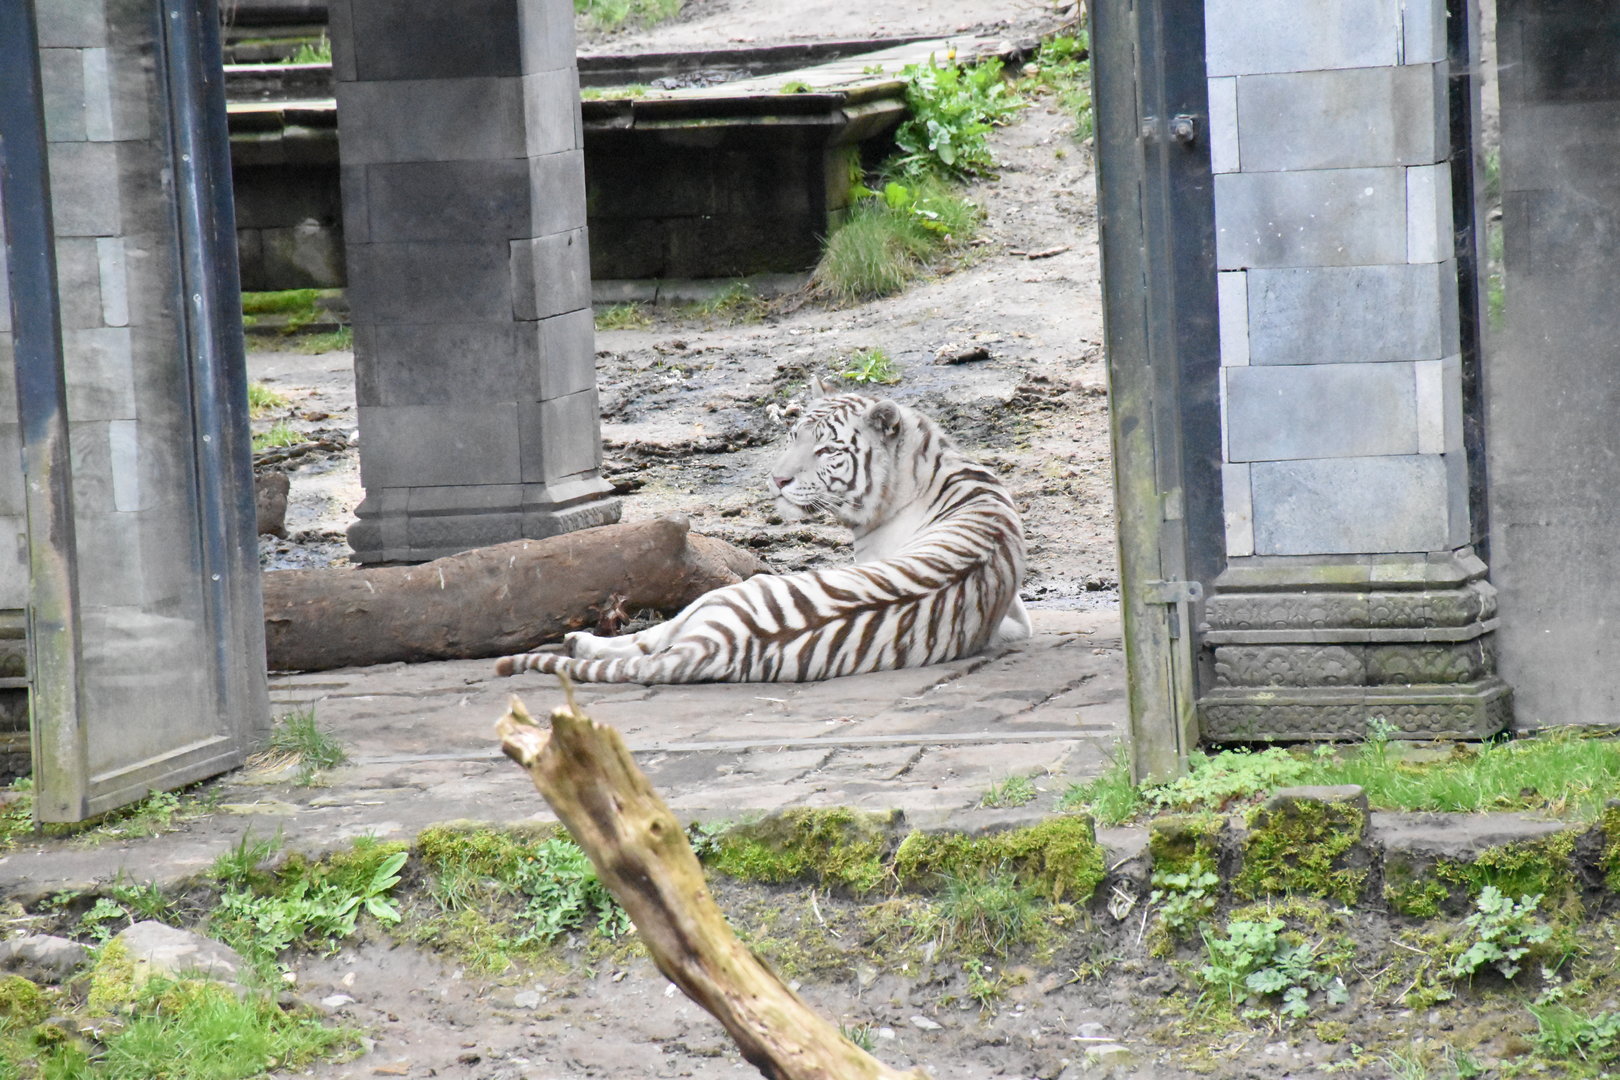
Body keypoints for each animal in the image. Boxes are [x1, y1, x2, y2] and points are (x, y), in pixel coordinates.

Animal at [493, 390, 1030, 683]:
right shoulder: (1015, 619)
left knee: (651, 640)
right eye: (794, 437)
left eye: (828, 450)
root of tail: (716, 644)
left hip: (722, 597)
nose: (778, 479)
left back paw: (578, 642)